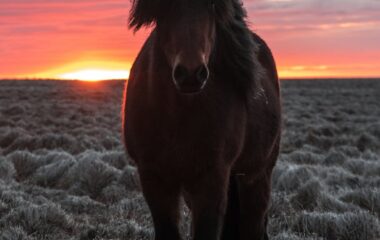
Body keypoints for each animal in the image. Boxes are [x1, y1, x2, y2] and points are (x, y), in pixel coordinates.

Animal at [123, 0, 280, 240]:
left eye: (213, 7)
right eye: (164, 8)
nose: (190, 73)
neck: (176, 117)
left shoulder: (211, 179)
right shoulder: (153, 177)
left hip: (256, 176)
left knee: (252, 224)